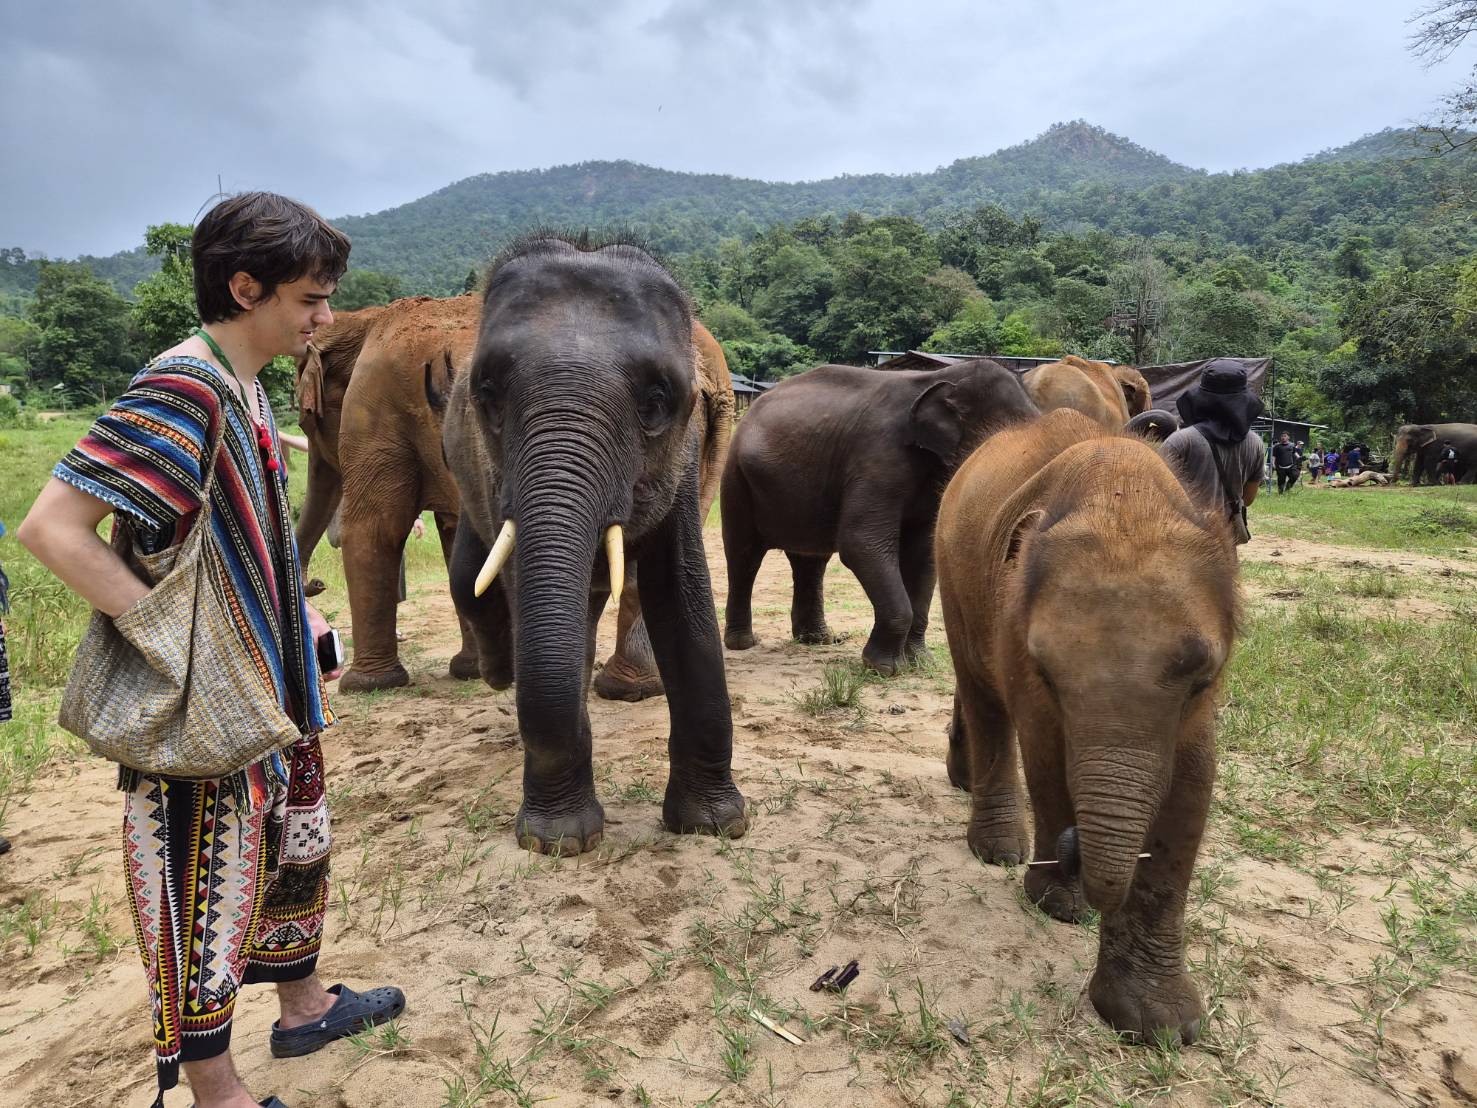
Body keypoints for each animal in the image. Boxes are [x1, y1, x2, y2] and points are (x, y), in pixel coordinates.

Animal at [294, 294, 734, 696]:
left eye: (304, 419)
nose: (315, 583)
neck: (362, 320)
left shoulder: (376, 404)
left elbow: (375, 527)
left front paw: (366, 686)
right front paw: (469, 671)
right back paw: (630, 687)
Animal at [438, 235, 745, 855]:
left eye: (656, 401)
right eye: (488, 395)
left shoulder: (683, 458)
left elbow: (681, 596)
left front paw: (716, 825)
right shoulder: (495, 474)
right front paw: (558, 842)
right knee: (471, 579)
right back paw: (501, 675)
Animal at [721, 358, 1039, 676]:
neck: (940, 377)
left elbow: (923, 554)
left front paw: (919, 662)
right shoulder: (878, 458)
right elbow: (860, 543)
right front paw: (883, 668)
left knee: (811, 560)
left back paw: (818, 639)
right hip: (736, 478)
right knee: (744, 555)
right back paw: (743, 643)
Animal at [935, 407, 1239, 1045]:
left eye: (1202, 678)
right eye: (1048, 673)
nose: (1073, 849)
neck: (1122, 494)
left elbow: (1194, 782)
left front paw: (1162, 1028)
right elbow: (1046, 752)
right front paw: (1060, 906)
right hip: (951, 567)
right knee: (982, 689)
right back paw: (998, 849)